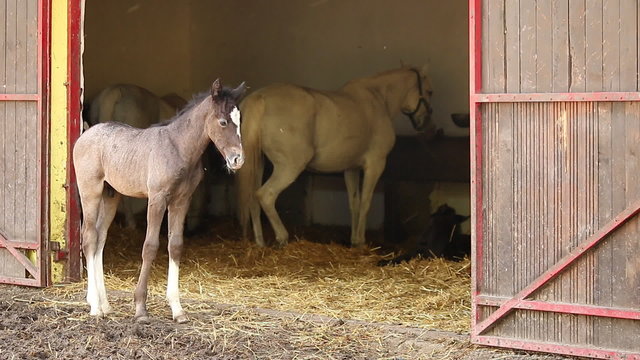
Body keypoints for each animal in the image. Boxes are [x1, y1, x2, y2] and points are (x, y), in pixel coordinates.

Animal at [74, 80, 246, 322]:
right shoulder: (157, 198)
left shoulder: (181, 200)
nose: (237, 160)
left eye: (240, 121)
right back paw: (95, 307)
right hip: (90, 190)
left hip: (111, 195)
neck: (179, 148)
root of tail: (85, 133)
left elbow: (175, 245)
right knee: (89, 236)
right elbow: (150, 246)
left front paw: (177, 309)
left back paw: (105, 305)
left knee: (100, 237)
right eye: (222, 122)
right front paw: (140, 308)